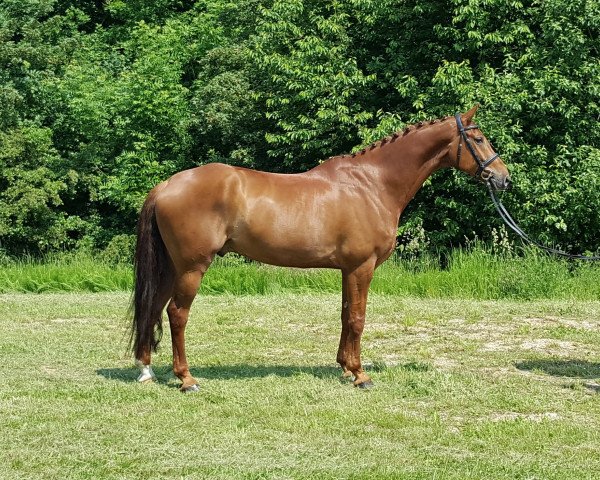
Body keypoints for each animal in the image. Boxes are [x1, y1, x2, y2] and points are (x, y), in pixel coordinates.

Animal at [131, 105, 510, 390]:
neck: (371, 184)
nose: (503, 178)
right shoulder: (362, 266)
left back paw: (147, 371)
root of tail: (166, 185)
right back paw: (186, 379)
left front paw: (344, 366)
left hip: (172, 267)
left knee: (153, 307)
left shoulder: (348, 269)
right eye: (478, 138)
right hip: (192, 267)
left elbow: (345, 314)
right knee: (177, 314)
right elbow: (357, 317)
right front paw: (360, 375)